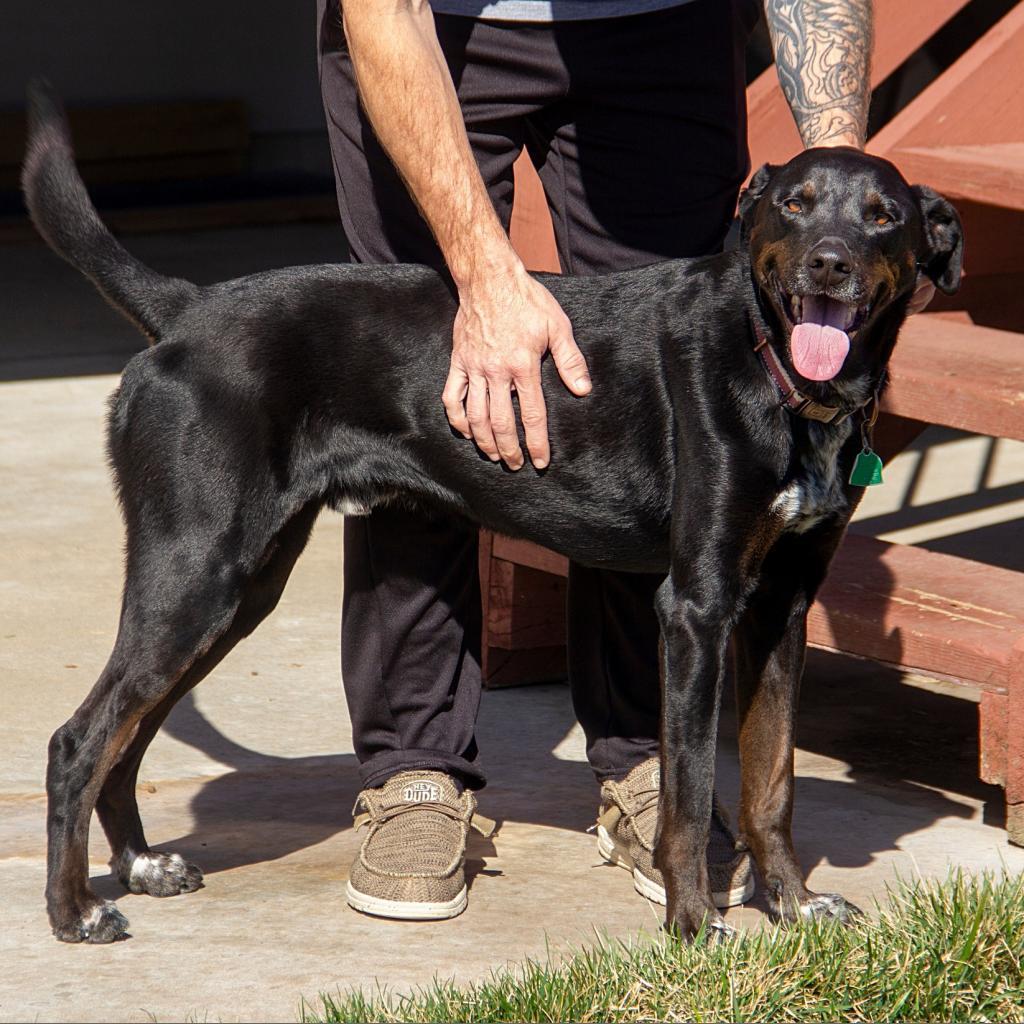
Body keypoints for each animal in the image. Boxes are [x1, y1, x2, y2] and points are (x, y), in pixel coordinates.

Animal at [24, 81, 958, 942]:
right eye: (794, 205)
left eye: (882, 218)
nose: (828, 263)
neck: (781, 376)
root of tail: (186, 310)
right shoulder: (698, 606)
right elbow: (692, 791)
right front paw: (694, 925)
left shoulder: (780, 607)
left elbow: (773, 783)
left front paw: (795, 906)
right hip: (199, 570)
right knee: (80, 739)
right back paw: (75, 911)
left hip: (238, 590)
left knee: (128, 736)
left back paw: (140, 866)